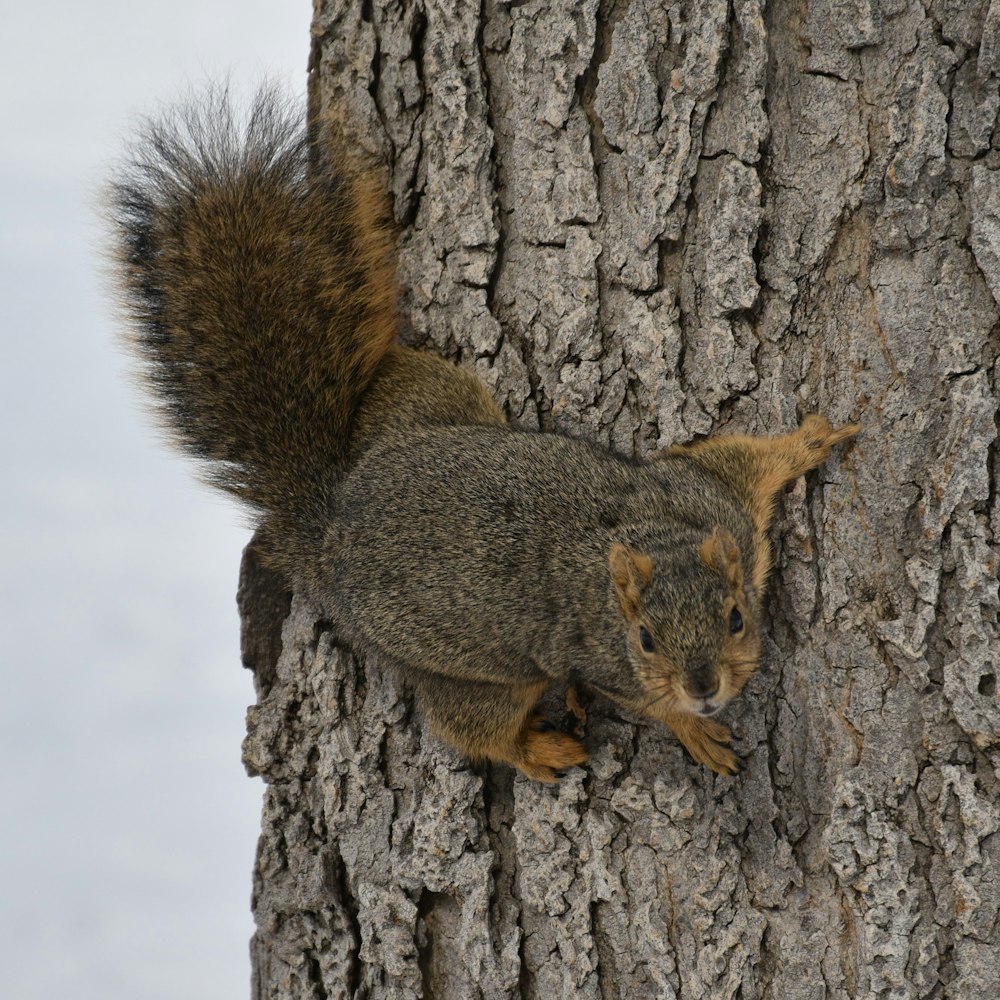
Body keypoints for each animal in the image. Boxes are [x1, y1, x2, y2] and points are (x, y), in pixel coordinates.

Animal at [111, 90, 860, 780]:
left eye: (735, 617)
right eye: (645, 639)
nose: (704, 688)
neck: (653, 539)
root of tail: (333, 528)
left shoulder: (707, 495)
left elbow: (744, 461)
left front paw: (812, 441)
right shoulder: (599, 659)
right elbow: (643, 700)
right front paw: (692, 728)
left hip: (432, 402)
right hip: (478, 670)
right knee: (470, 726)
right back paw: (539, 749)